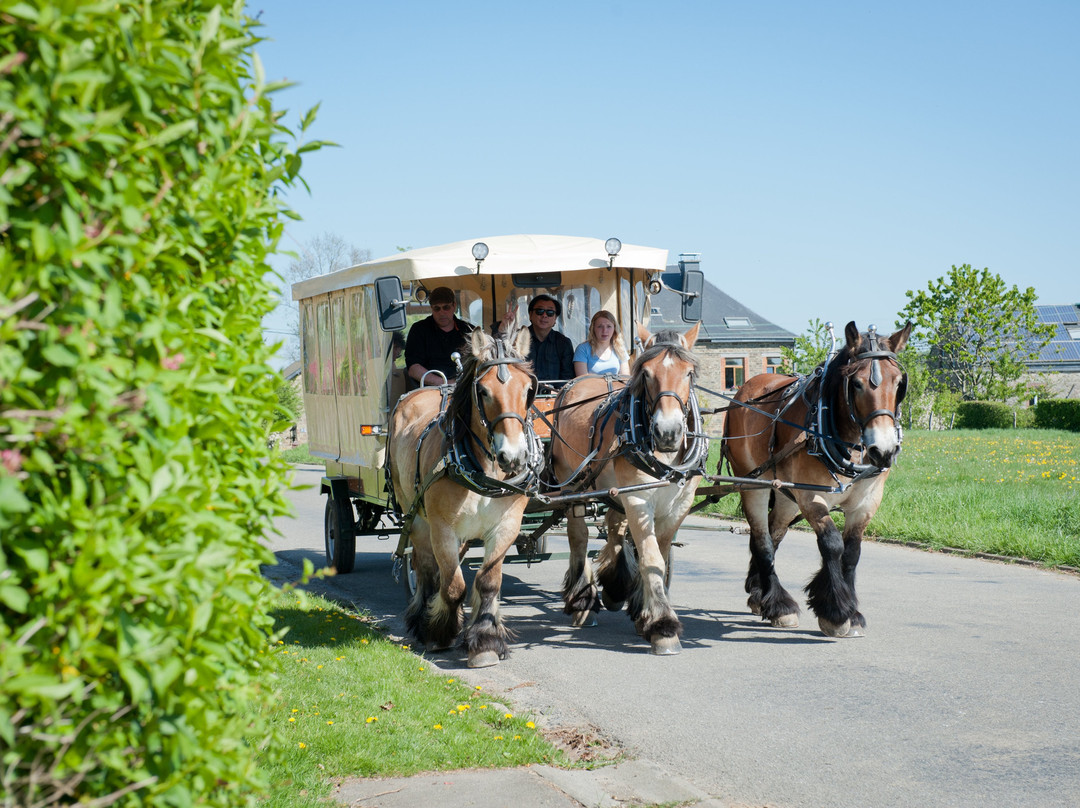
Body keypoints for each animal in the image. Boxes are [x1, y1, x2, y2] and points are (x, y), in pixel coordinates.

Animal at [388, 328, 540, 669]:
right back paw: (423, 619)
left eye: (528, 390)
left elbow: (487, 582)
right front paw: (441, 632)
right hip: (414, 515)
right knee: (425, 566)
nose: (513, 457)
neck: (484, 470)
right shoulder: (443, 528)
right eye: (482, 391)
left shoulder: (506, 526)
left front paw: (484, 641)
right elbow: (454, 584)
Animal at [548, 321, 708, 656]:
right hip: (573, 484)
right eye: (645, 373)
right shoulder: (637, 498)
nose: (668, 432)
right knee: (578, 536)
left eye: (689, 373)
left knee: (614, 529)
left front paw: (645, 613)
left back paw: (616, 586)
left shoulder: (678, 504)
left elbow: (660, 557)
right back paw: (583, 602)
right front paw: (663, 627)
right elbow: (651, 558)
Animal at [725, 319, 911, 639]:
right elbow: (833, 545)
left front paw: (853, 613)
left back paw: (760, 594)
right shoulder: (811, 497)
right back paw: (780, 606)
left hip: (784, 494)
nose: (884, 451)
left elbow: (852, 552)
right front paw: (836, 612)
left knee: (775, 534)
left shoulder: (866, 503)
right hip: (754, 485)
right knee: (762, 539)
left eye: (899, 383)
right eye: (856, 383)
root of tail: (746, 387)